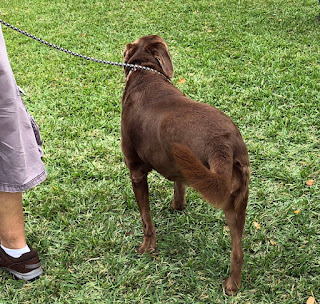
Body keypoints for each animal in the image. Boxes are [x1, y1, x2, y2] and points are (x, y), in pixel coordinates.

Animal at [121, 35, 249, 294]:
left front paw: (147, 247)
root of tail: (224, 144)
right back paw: (232, 286)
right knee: (238, 251)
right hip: (237, 201)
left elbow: (146, 219)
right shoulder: (180, 170)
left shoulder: (136, 172)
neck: (145, 72)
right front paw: (177, 206)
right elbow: (179, 188)